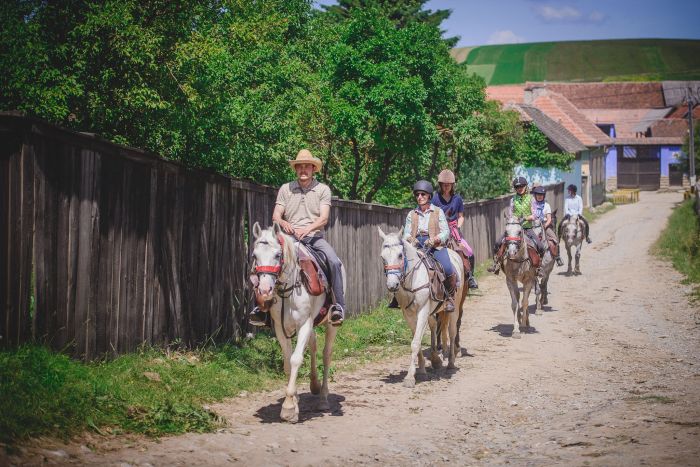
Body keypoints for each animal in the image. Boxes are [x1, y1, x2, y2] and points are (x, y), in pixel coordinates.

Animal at [378, 229, 464, 388]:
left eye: (400, 255)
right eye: (383, 257)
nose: (392, 285)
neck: (412, 279)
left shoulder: (423, 311)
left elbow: (416, 342)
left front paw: (409, 378)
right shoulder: (408, 315)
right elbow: (415, 340)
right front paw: (422, 370)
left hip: (454, 307)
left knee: (452, 332)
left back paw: (450, 363)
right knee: (434, 326)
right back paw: (436, 359)